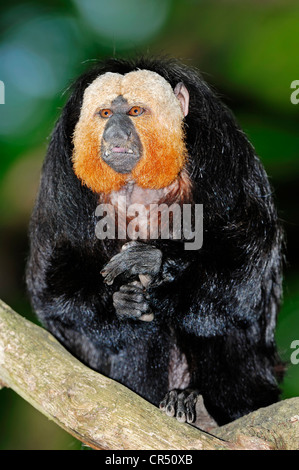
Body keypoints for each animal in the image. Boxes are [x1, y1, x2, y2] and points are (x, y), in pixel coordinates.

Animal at [25, 57, 284, 428]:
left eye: (135, 111)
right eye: (105, 113)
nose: (116, 134)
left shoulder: (226, 155)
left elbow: (245, 273)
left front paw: (154, 264)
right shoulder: (59, 180)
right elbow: (54, 294)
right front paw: (122, 303)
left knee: (208, 318)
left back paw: (194, 401)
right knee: (141, 334)